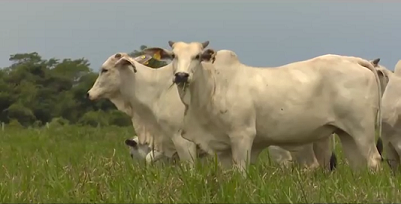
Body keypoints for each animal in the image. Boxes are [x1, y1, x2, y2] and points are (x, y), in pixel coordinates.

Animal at [142, 41, 380, 174]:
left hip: (363, 130)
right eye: (173, 56)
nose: (181, 75)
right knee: (359, 166)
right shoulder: (223, 147)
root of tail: (355, 61)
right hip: (346, 134)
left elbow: (241, 172)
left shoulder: (243, 136)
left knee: (374, 161)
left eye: (198, 56)